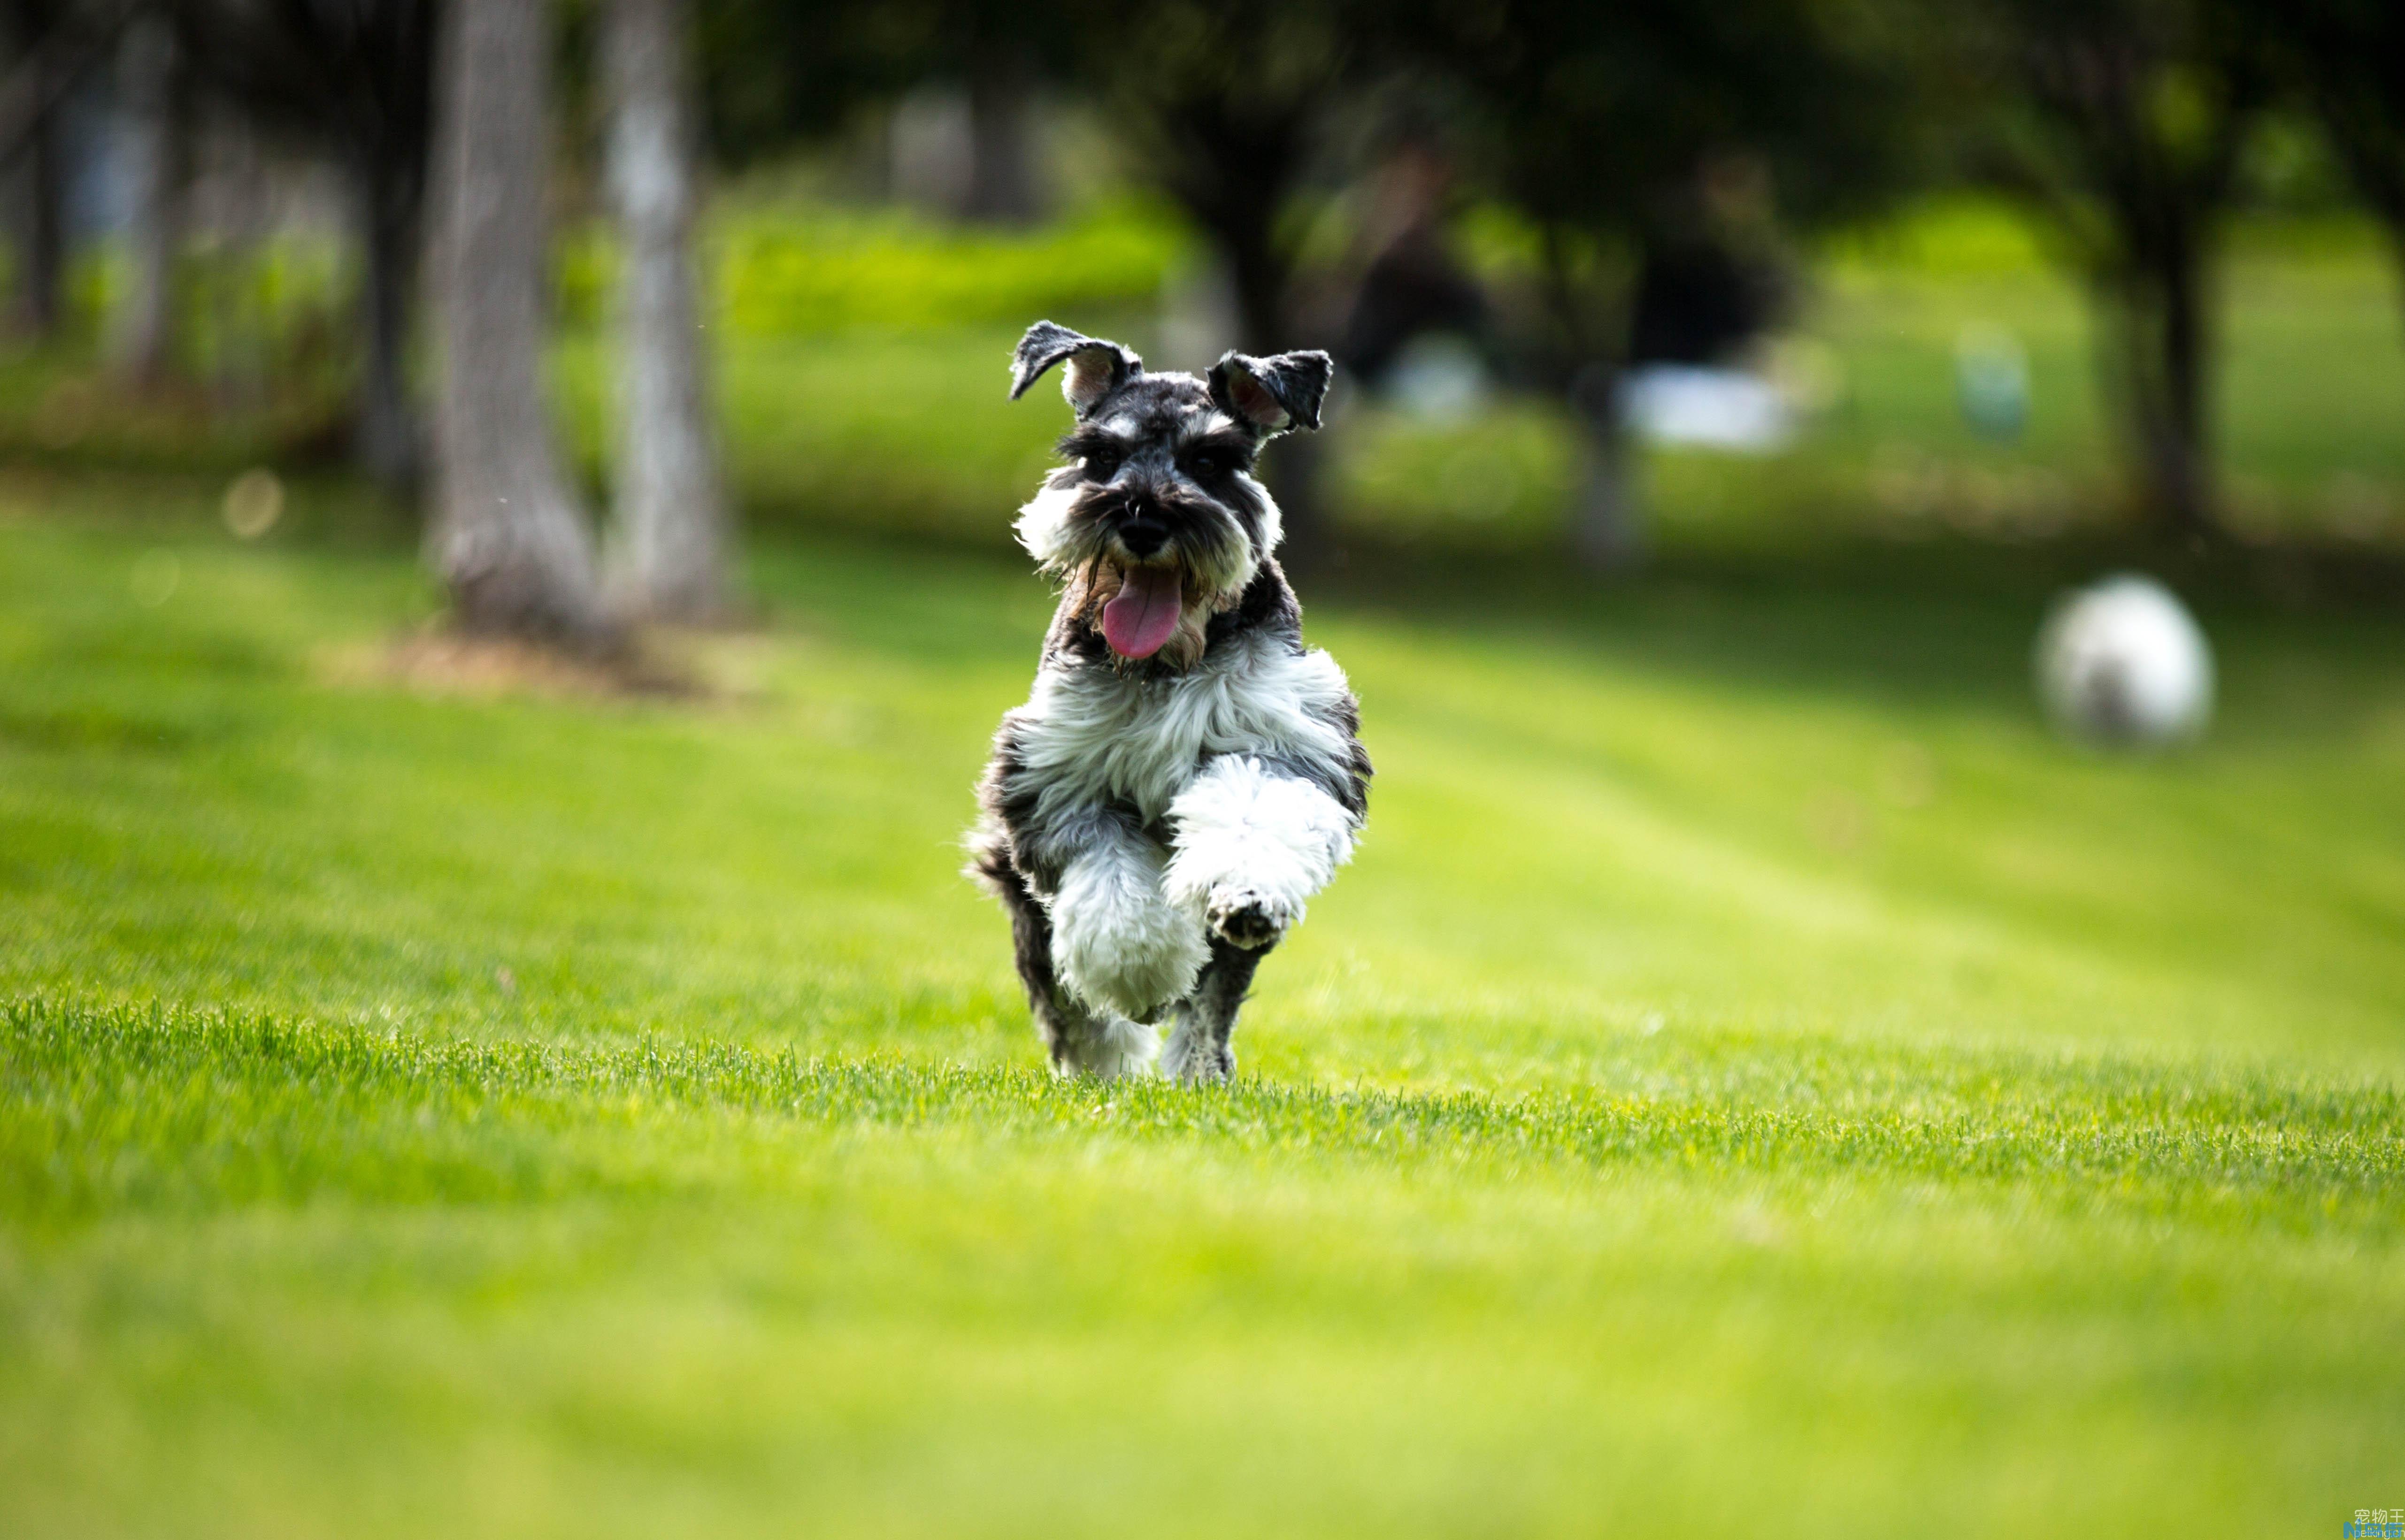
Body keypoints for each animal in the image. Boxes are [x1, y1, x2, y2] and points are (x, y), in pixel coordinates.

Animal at [962, 317, 1375, 1082]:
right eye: (1100, 455)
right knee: (1064, 995)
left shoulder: (1283, 742)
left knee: (1212, 1002)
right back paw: (1105, 1066)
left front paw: (1245, 890)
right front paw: (1142, 971)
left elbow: (1252, 812)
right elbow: (1112, 884)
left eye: (1210, 461)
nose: (1142, 521)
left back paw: (1196, 1071)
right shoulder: (1059, 778)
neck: (1165, 661)